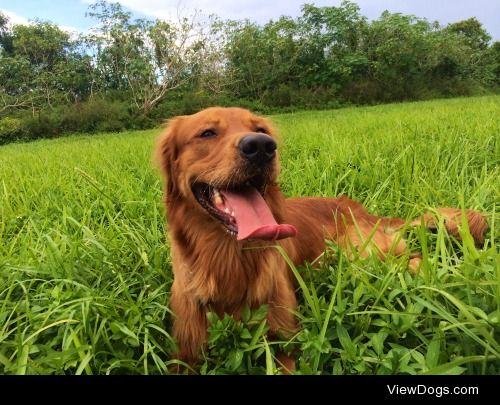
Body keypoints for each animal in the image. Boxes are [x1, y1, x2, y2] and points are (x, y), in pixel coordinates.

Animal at [155, 105, 484, 370]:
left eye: (260, 130)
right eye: (207, 133)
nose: (262, 146)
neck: (229, 259)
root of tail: (356, 207)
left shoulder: (287, 342)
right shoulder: (184, 353)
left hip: (362, 254)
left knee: (413, 260)